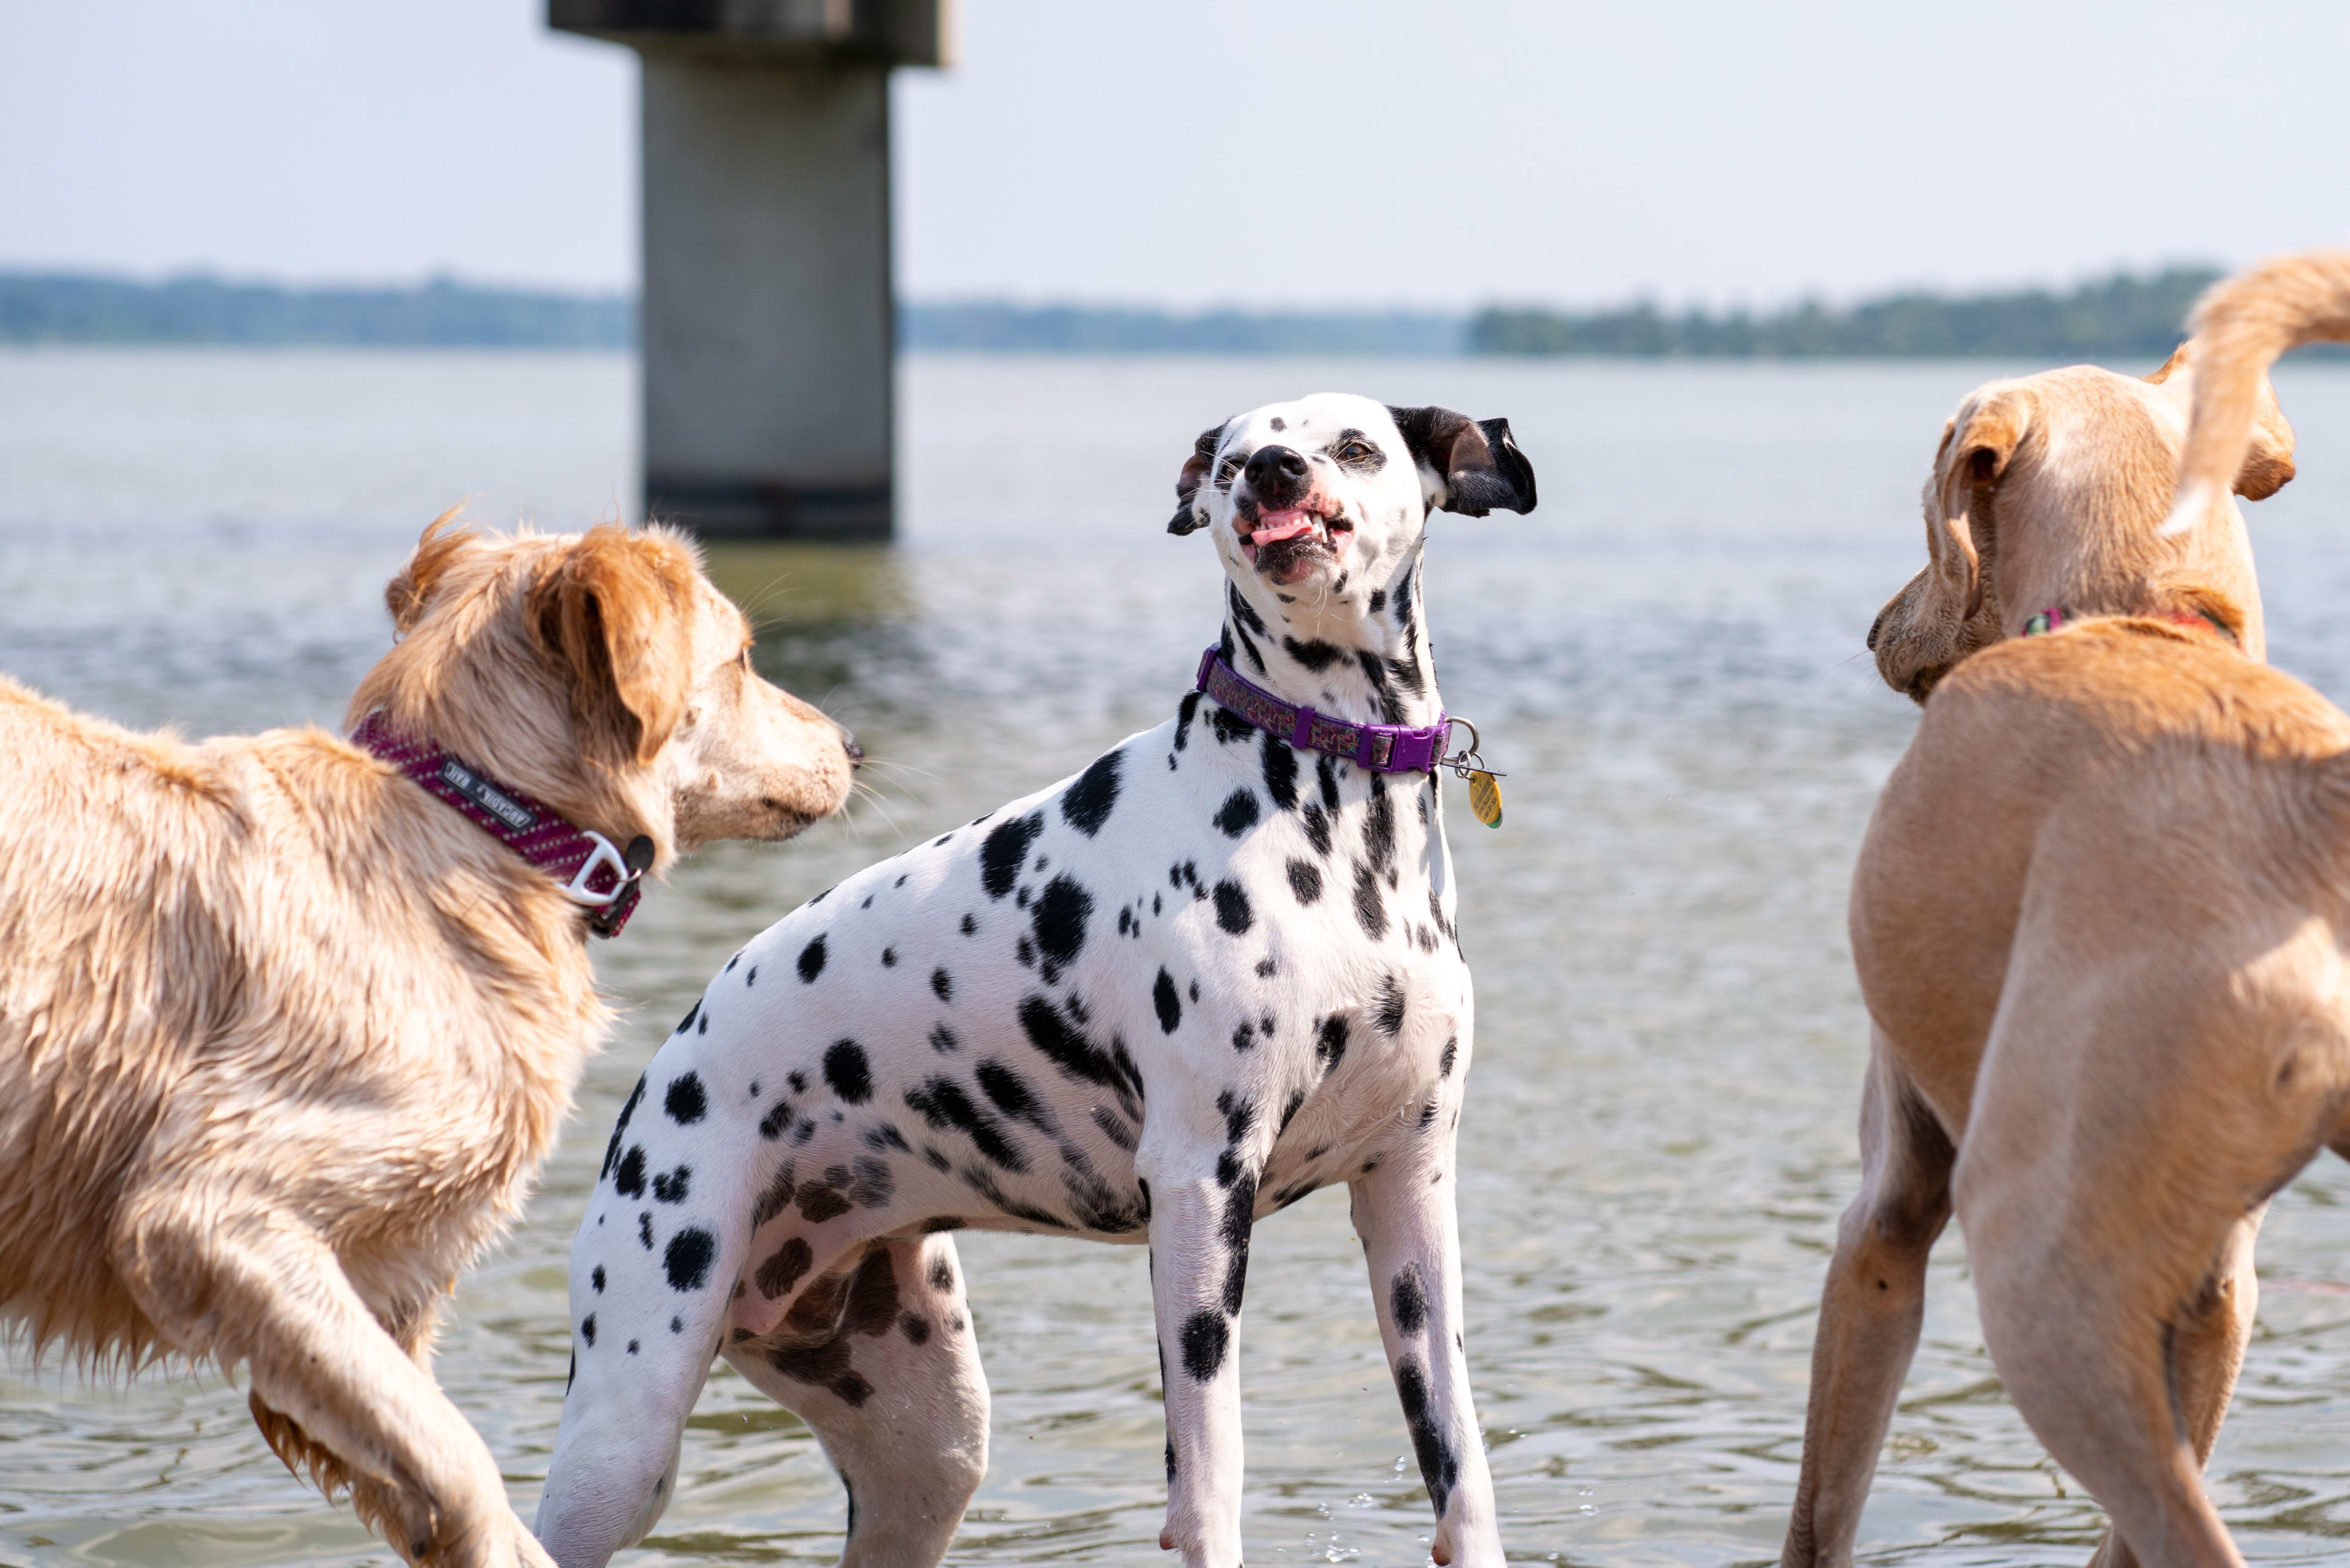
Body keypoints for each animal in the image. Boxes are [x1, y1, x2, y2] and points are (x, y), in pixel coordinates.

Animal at [0, 517, 860, 1568]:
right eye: (741, 657)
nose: (855, 742)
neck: (478, 823)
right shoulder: (209, 1211)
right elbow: (460, 1462)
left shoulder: (380, 1291)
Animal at [533, 395, 1542, 1568]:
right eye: (1235, 459)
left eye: (1354, 445)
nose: (1276, 475)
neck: (1338, 818)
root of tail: (665, 1070)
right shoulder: (1203, 1190)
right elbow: (1210, 1475)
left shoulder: (1410, 1195)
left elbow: (1460, 1465)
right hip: (627, 1436)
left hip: (928, 1456)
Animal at [1777, 263, 2350, 1568]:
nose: (1874, 628)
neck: (2141, 610)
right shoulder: (2222, 1294)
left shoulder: (1888, 1209)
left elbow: (1821, 1514)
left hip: (2042, 1274)